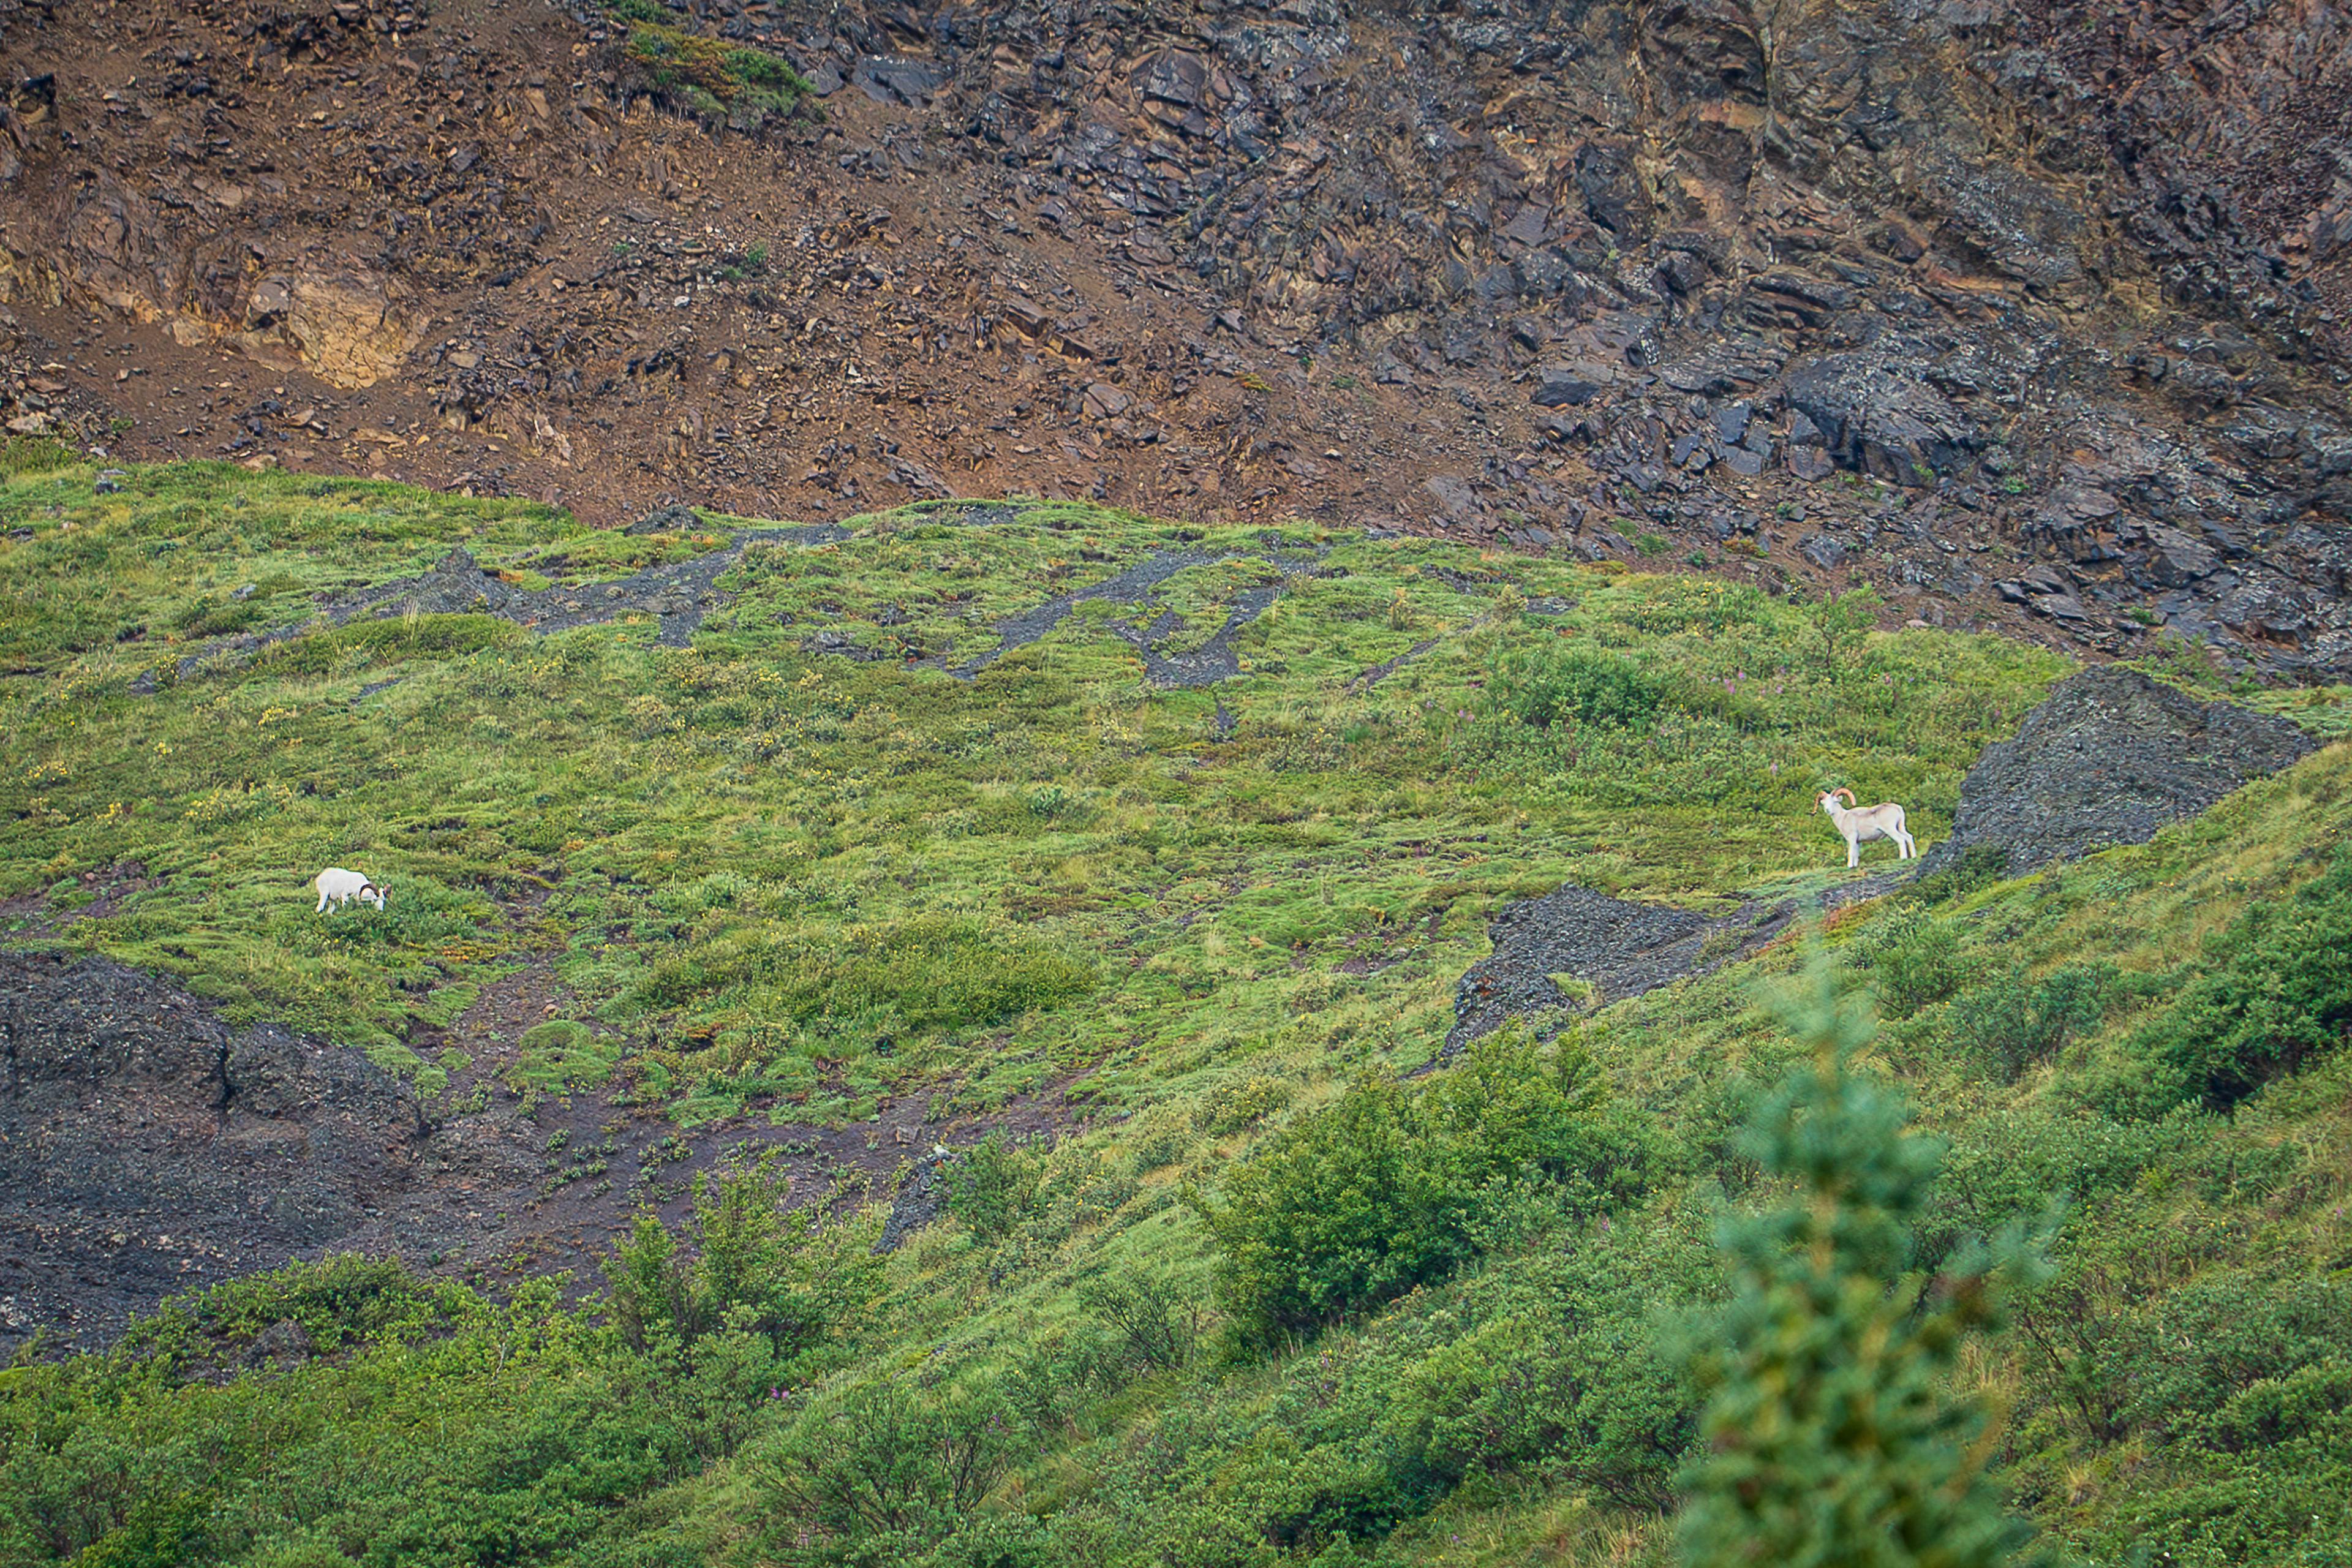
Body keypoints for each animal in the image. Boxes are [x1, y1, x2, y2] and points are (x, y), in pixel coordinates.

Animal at [1817, 788, 1916, 869]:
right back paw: (1914, 856)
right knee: (1909, 837)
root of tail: (1897, 808)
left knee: (1901, 840)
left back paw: (1903, 858)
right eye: (1824, 803)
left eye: (1834, 802)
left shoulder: (1852, 838)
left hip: (1891, 830)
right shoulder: (1858, 841)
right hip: (1900, 828)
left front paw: (1850, 866)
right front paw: (1855, 866)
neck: (1843, 817)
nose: (1828, 810)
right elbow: (1856, 854)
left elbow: (1851, 852)